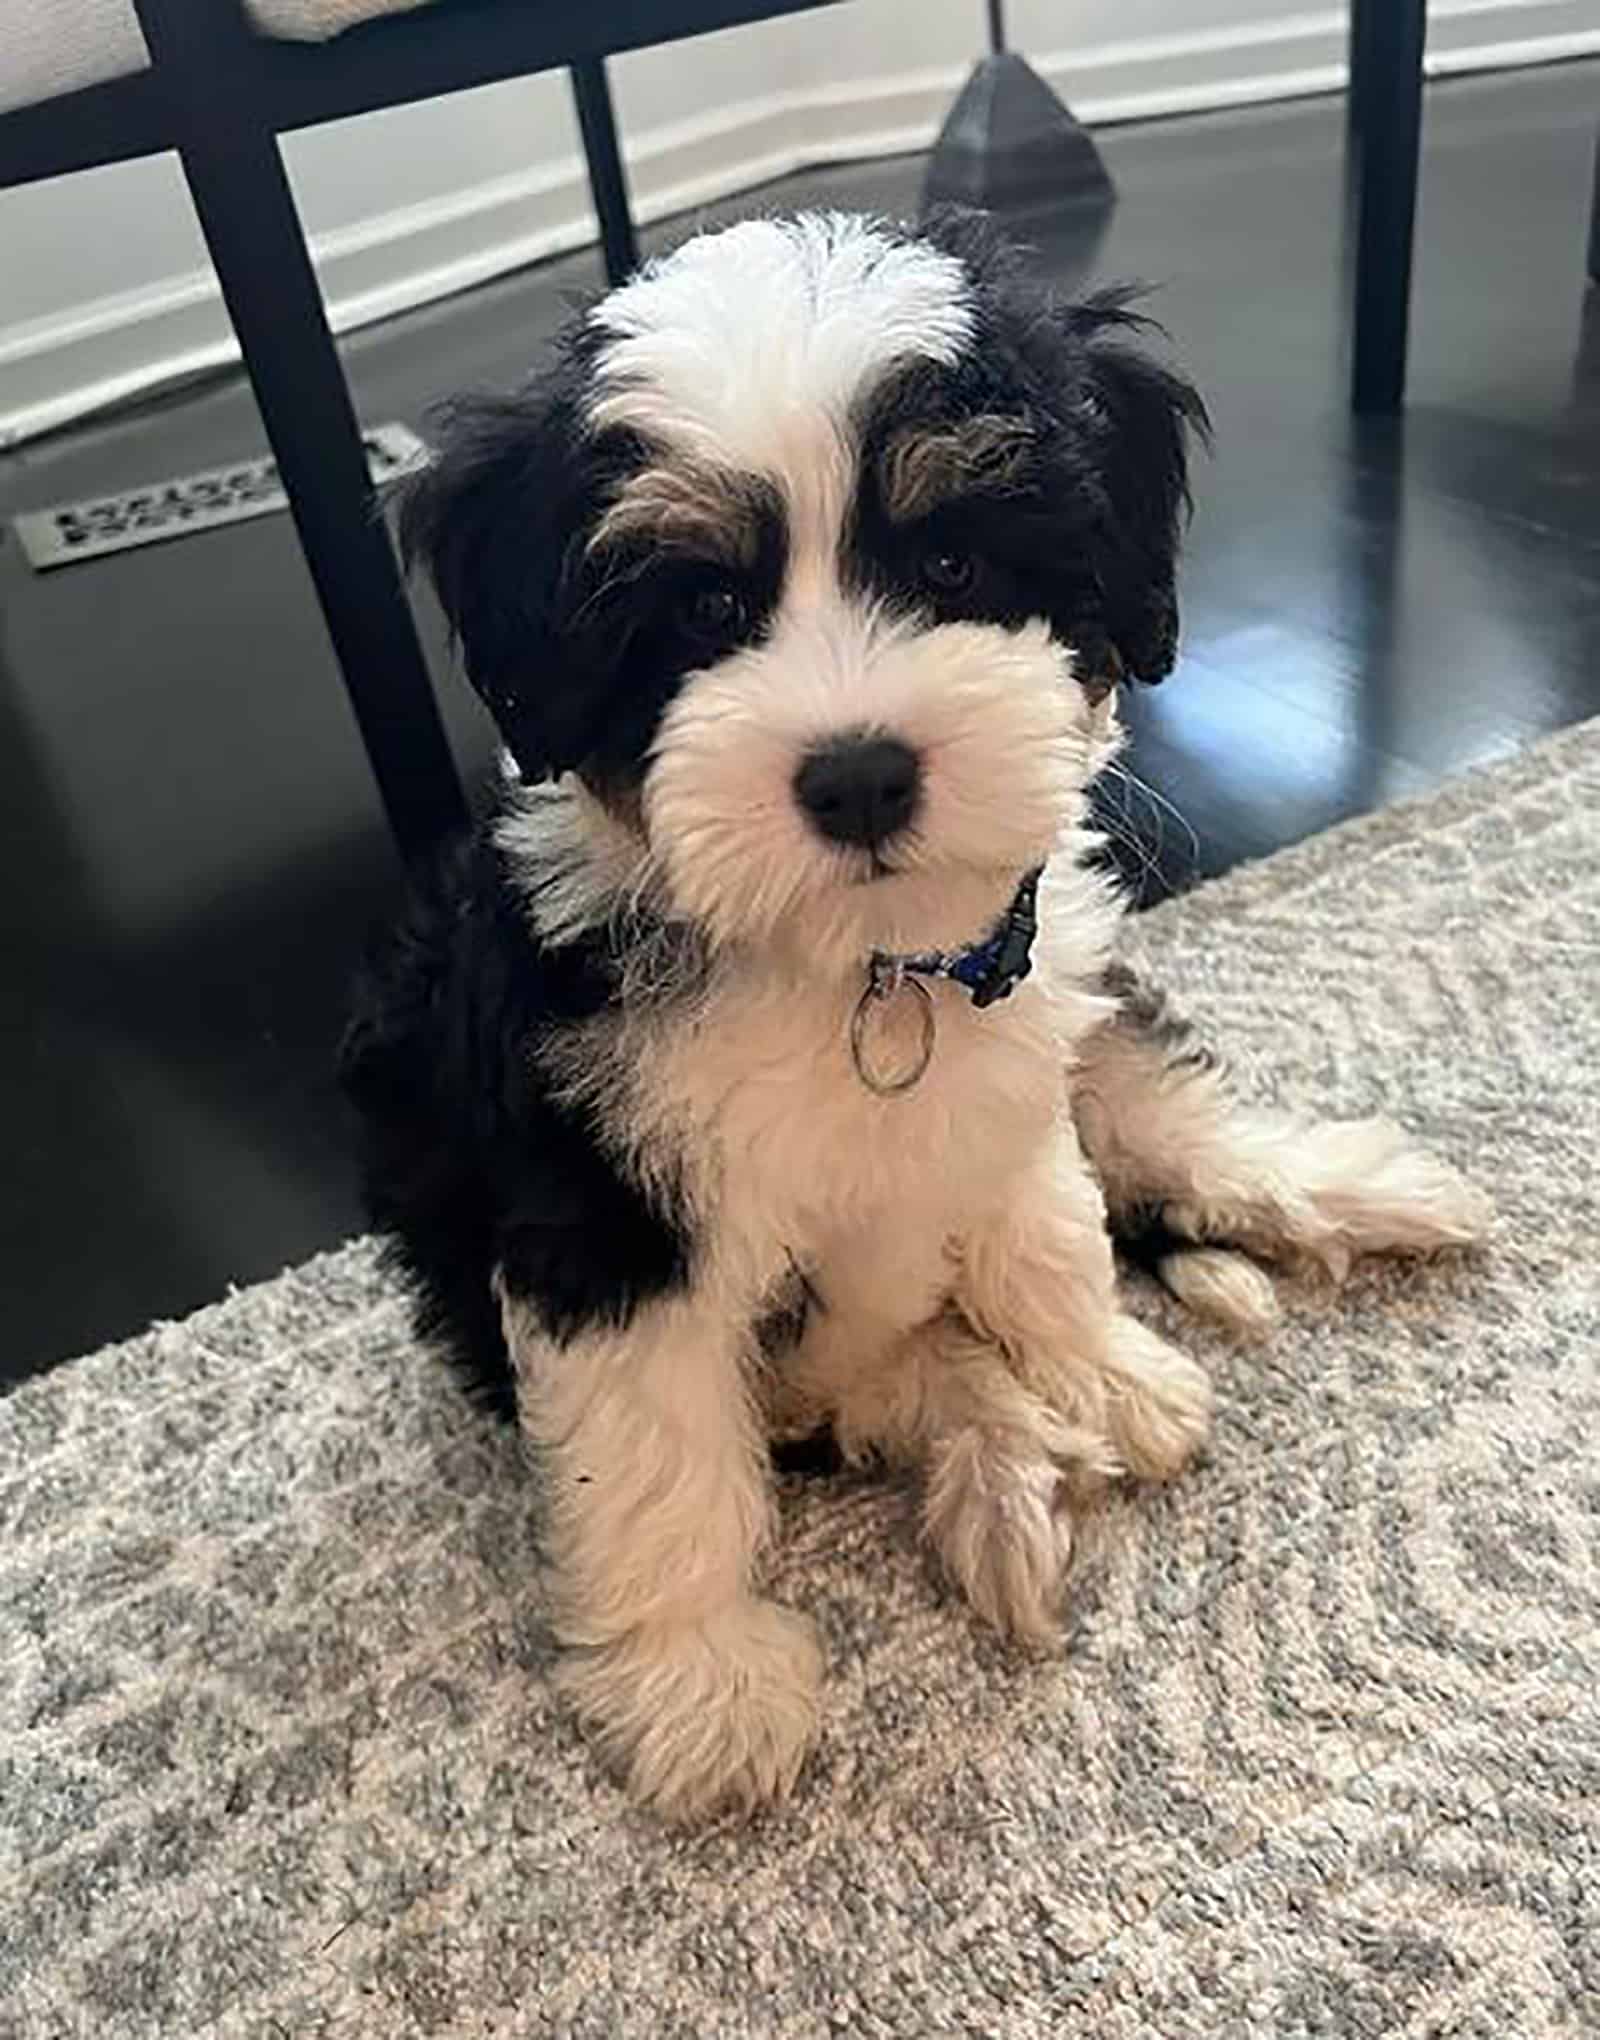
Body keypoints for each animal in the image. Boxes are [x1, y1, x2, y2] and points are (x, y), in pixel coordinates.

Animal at [342, 219, 1493, 1819]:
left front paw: (1095, 1363)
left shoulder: (1009, 1049)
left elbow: (1049, 1228)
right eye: (704, 609)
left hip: (1080, 992)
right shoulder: (602, 1198)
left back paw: (1338, 1195)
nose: (859, 775)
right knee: (889, 1375)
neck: (857, 971)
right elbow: (653, 1448)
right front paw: (700, 1682)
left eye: (949, 557)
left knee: (1152, 1119)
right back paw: (997, 1471)